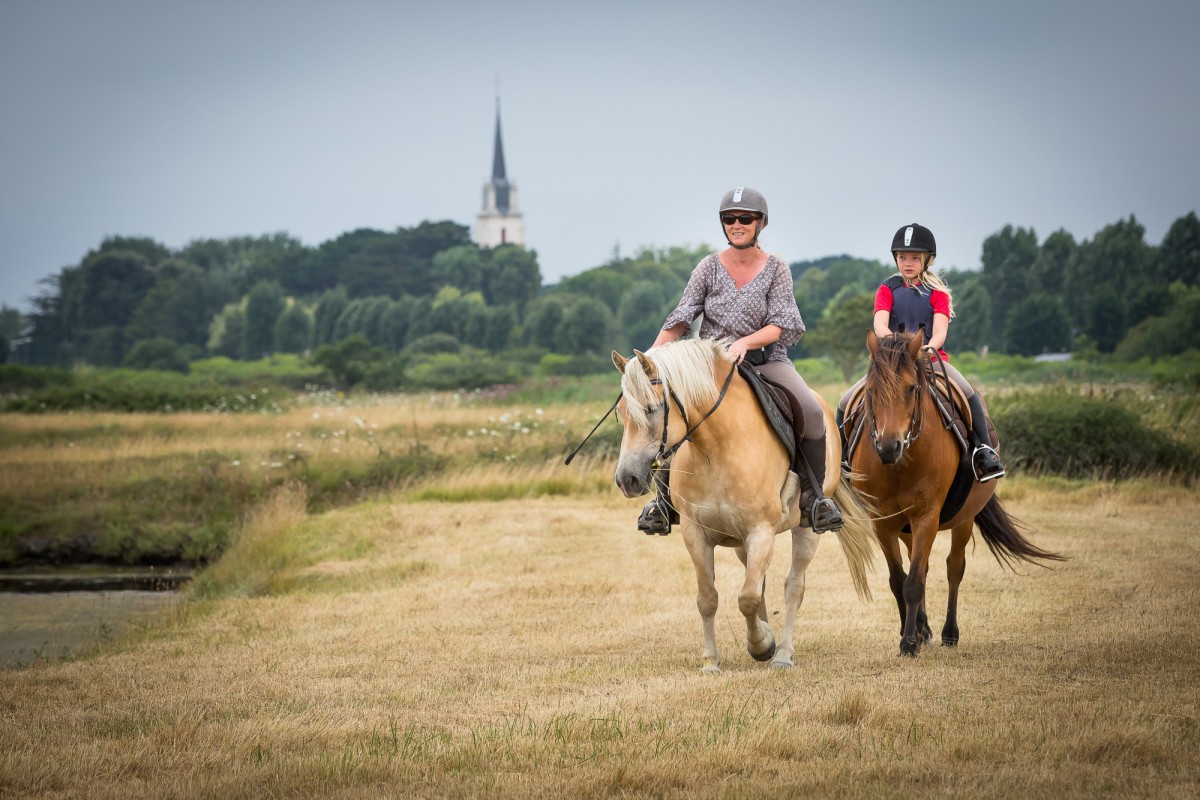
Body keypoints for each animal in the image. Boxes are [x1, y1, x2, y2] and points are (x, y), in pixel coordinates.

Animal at [614, 340, 878, 676]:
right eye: (621, 412)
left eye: (650, 409)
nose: (626, 479)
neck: (715, 449)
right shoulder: (695, 535)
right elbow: (708, 598)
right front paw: (711, 662)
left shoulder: (761, 532)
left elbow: (748, 598)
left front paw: (762, 645)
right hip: (740, 542)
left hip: (806, 530)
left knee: (794, 586)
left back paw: (783, 654)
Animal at [849, 331, 1065, 657]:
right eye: (872, 390)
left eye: (911, 388)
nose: (888, 447)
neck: (901, 464)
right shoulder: (883, 522)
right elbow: (899, 580)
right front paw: (910, 634)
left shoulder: (927, 516)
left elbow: (913, 583)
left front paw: (908, 644)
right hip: (908, 528)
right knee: (923, 567)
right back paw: (923, 629)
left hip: (964, 519)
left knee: (954, 568)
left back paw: (948, 633)